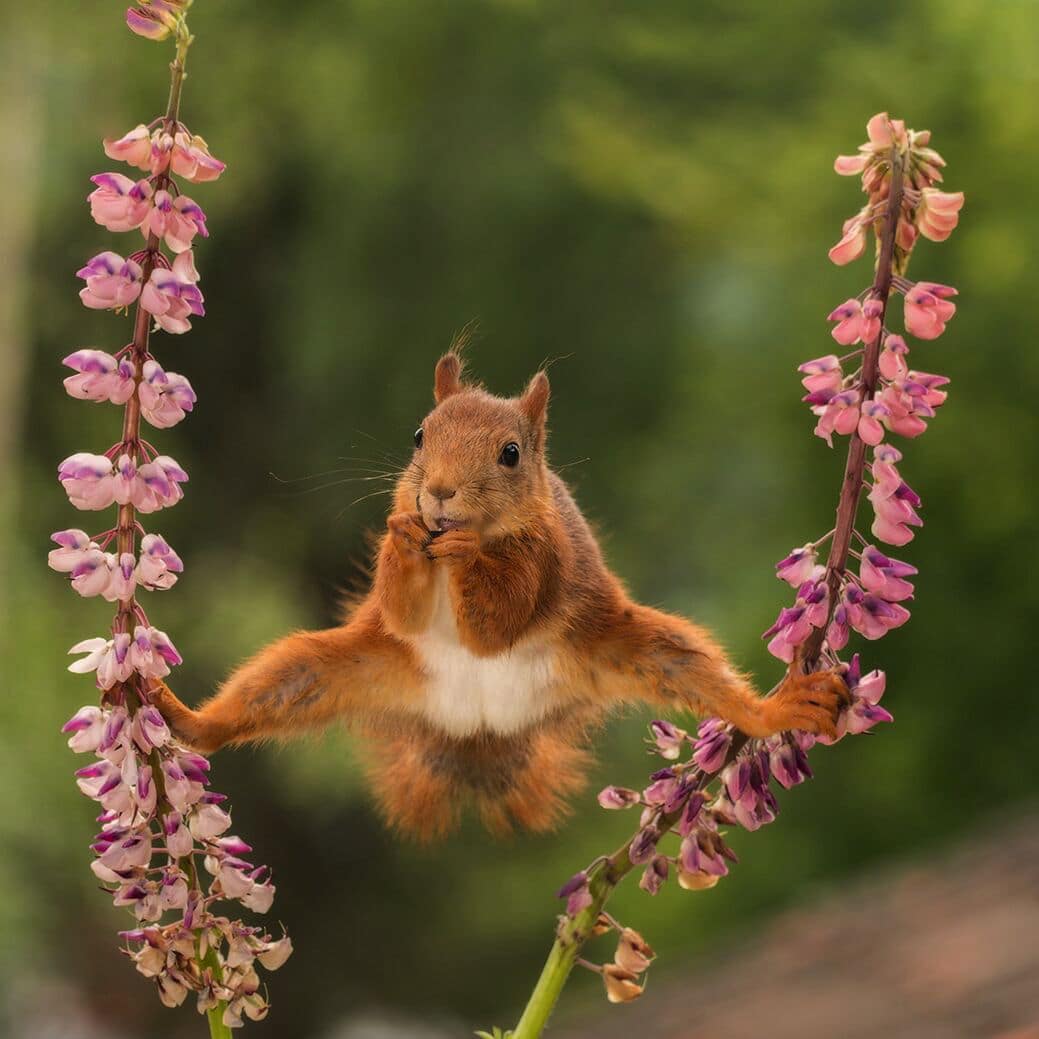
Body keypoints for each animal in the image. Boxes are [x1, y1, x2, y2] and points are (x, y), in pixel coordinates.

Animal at [153, 353, 851, 839]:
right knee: (266, 691)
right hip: (339, 667)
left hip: (631, 648)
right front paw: (405, 535)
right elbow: (404, 610)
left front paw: (465, 554)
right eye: (418, 435)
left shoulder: (543, 561)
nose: (437, 493)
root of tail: (479, 728)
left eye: (511, 454)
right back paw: (179, 715)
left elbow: (497, 625)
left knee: (697, 673)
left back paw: (780, 708)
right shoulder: (400, 602)